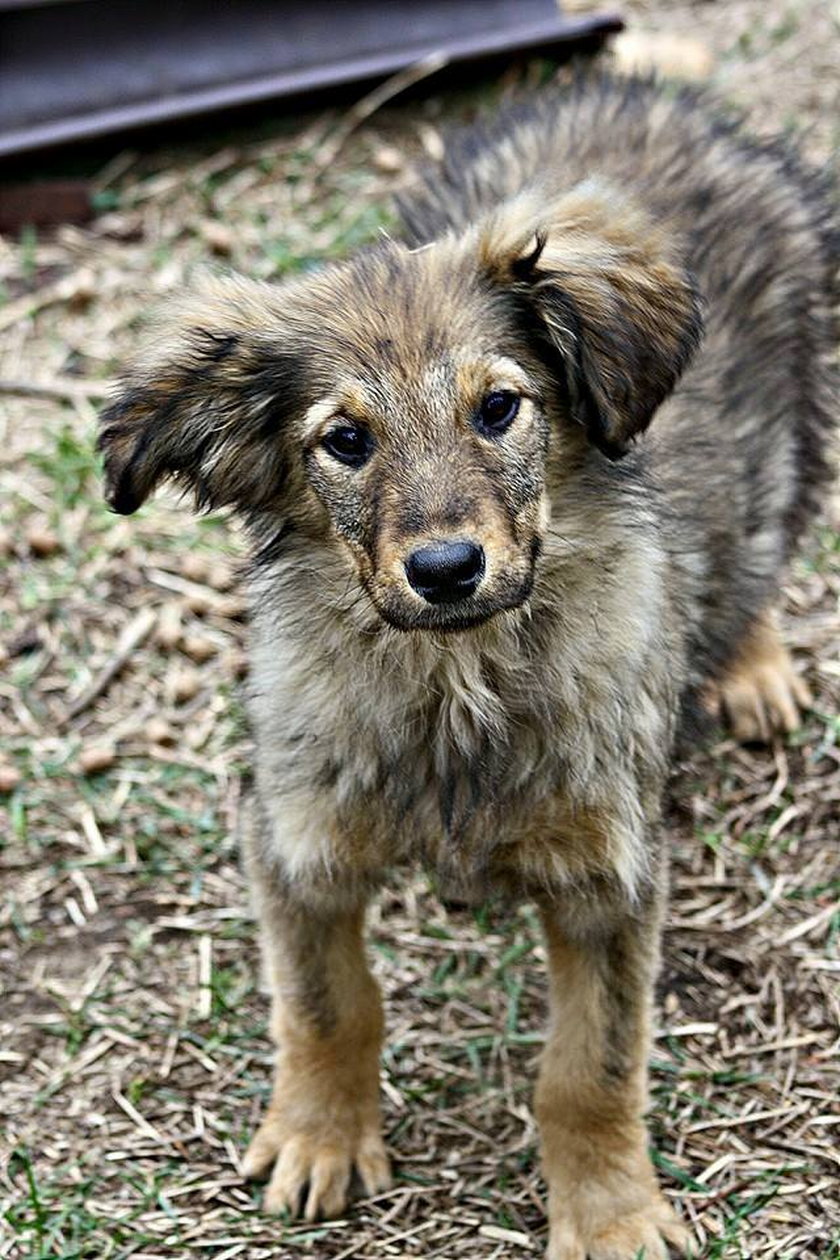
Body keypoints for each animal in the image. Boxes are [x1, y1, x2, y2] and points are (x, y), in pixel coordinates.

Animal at [96, 76, 836, 1260]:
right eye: (346, 440)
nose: (446, 570)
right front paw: (319, 1136)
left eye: (499, 408)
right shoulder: (297, 837)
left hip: (794, 436)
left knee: (757, 555)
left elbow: (590, 1068)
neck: (456, 682)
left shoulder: (609, 876)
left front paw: (610, 1213)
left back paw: (752, 665)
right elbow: (328, 1003)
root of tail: (642, 97)